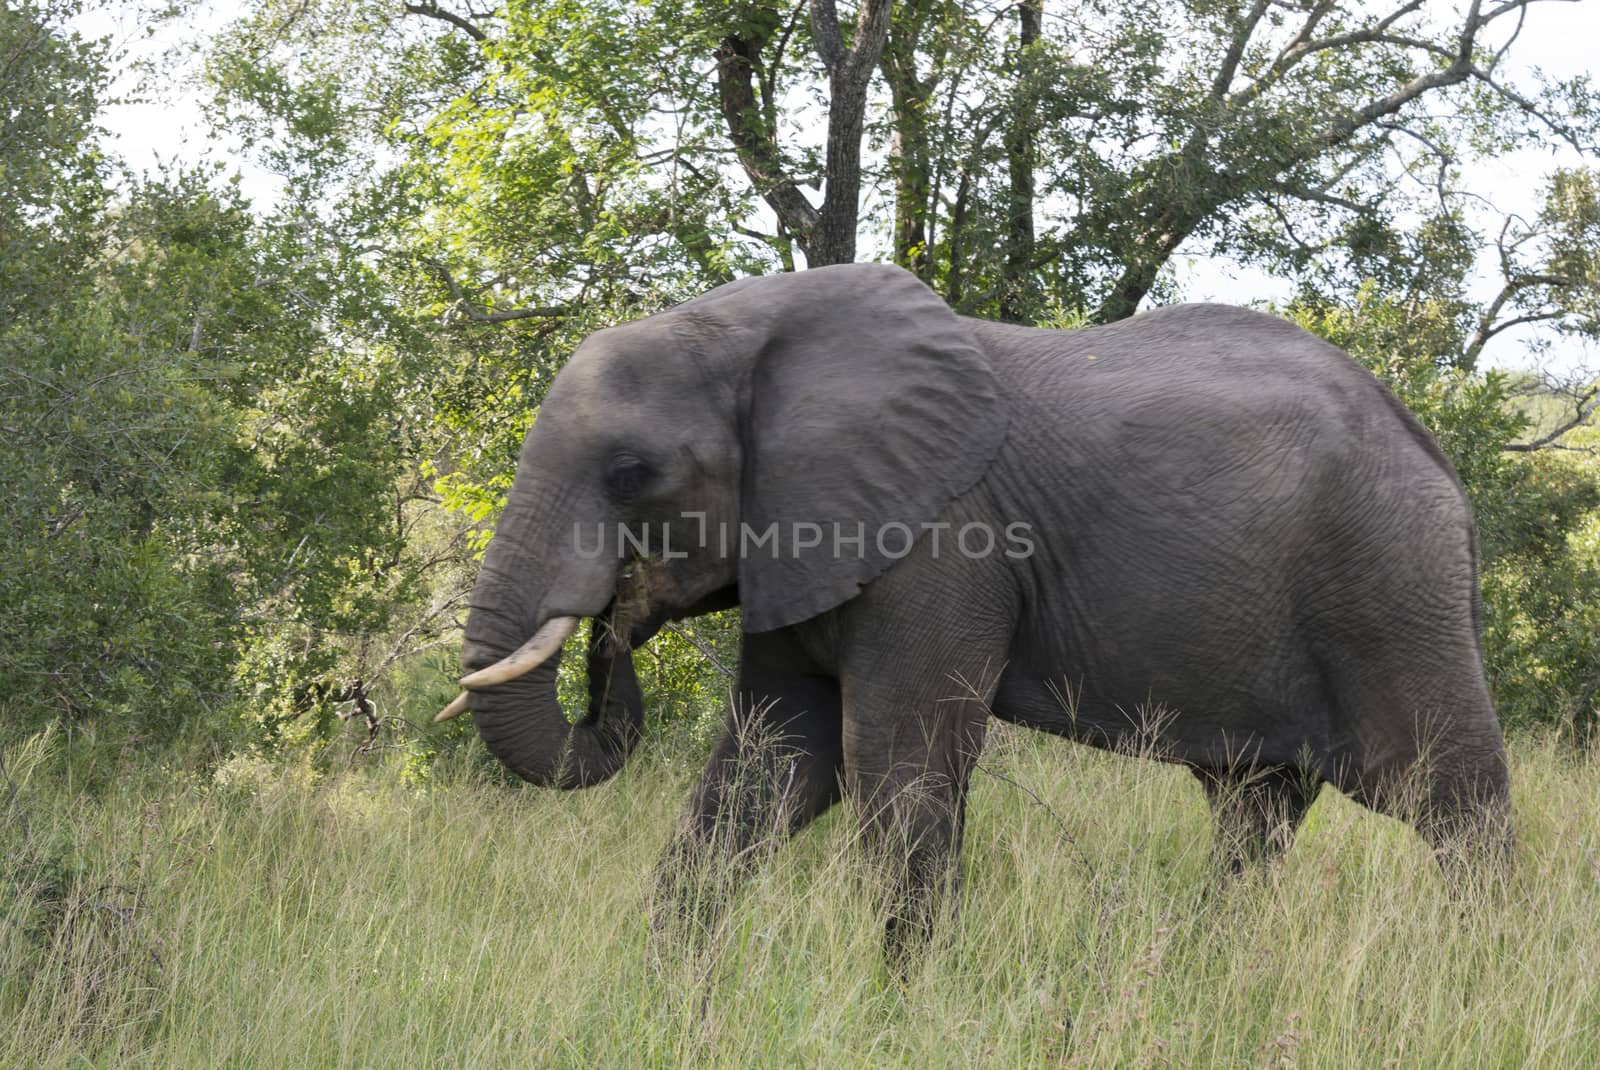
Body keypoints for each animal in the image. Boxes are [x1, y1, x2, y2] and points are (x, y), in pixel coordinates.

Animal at [441, 262, 1510, 966]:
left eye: (631, 473)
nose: (617, 619)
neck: (751, 329)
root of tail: (1433, 453)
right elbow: (769, 764)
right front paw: (664, 991)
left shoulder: (941, 546)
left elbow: (895, 767)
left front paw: (901, 1007)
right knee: (1255, 809)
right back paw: (1203, 967)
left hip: (1387, 581)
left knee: (1453, 798)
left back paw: (1479, 978)